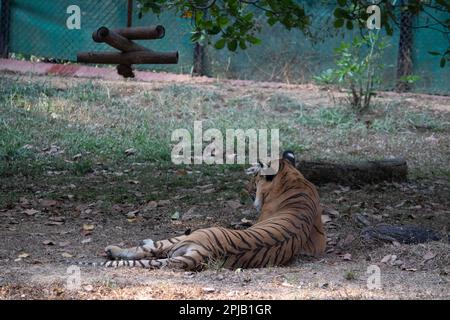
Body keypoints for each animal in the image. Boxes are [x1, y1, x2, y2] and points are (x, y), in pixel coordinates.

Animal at [99, 151, 324, 272]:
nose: (247, 190)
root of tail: (205, 252)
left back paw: (113, 249)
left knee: (149, 249)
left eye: (253, 178)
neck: (294, 180)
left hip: (188, 236)